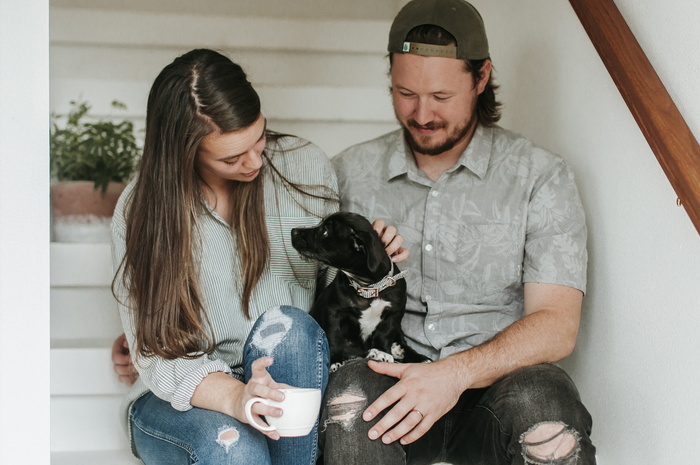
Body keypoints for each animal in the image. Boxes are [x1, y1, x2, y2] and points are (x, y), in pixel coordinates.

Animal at [290, 210, 426, 370]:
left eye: (325, 231)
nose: (293, 231)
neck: (368, 288)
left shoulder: (394, 313)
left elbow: (385, 333)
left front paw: (381, 351)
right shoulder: (333, 312)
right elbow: (334, 337)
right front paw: (335, 360)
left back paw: (415, 356)